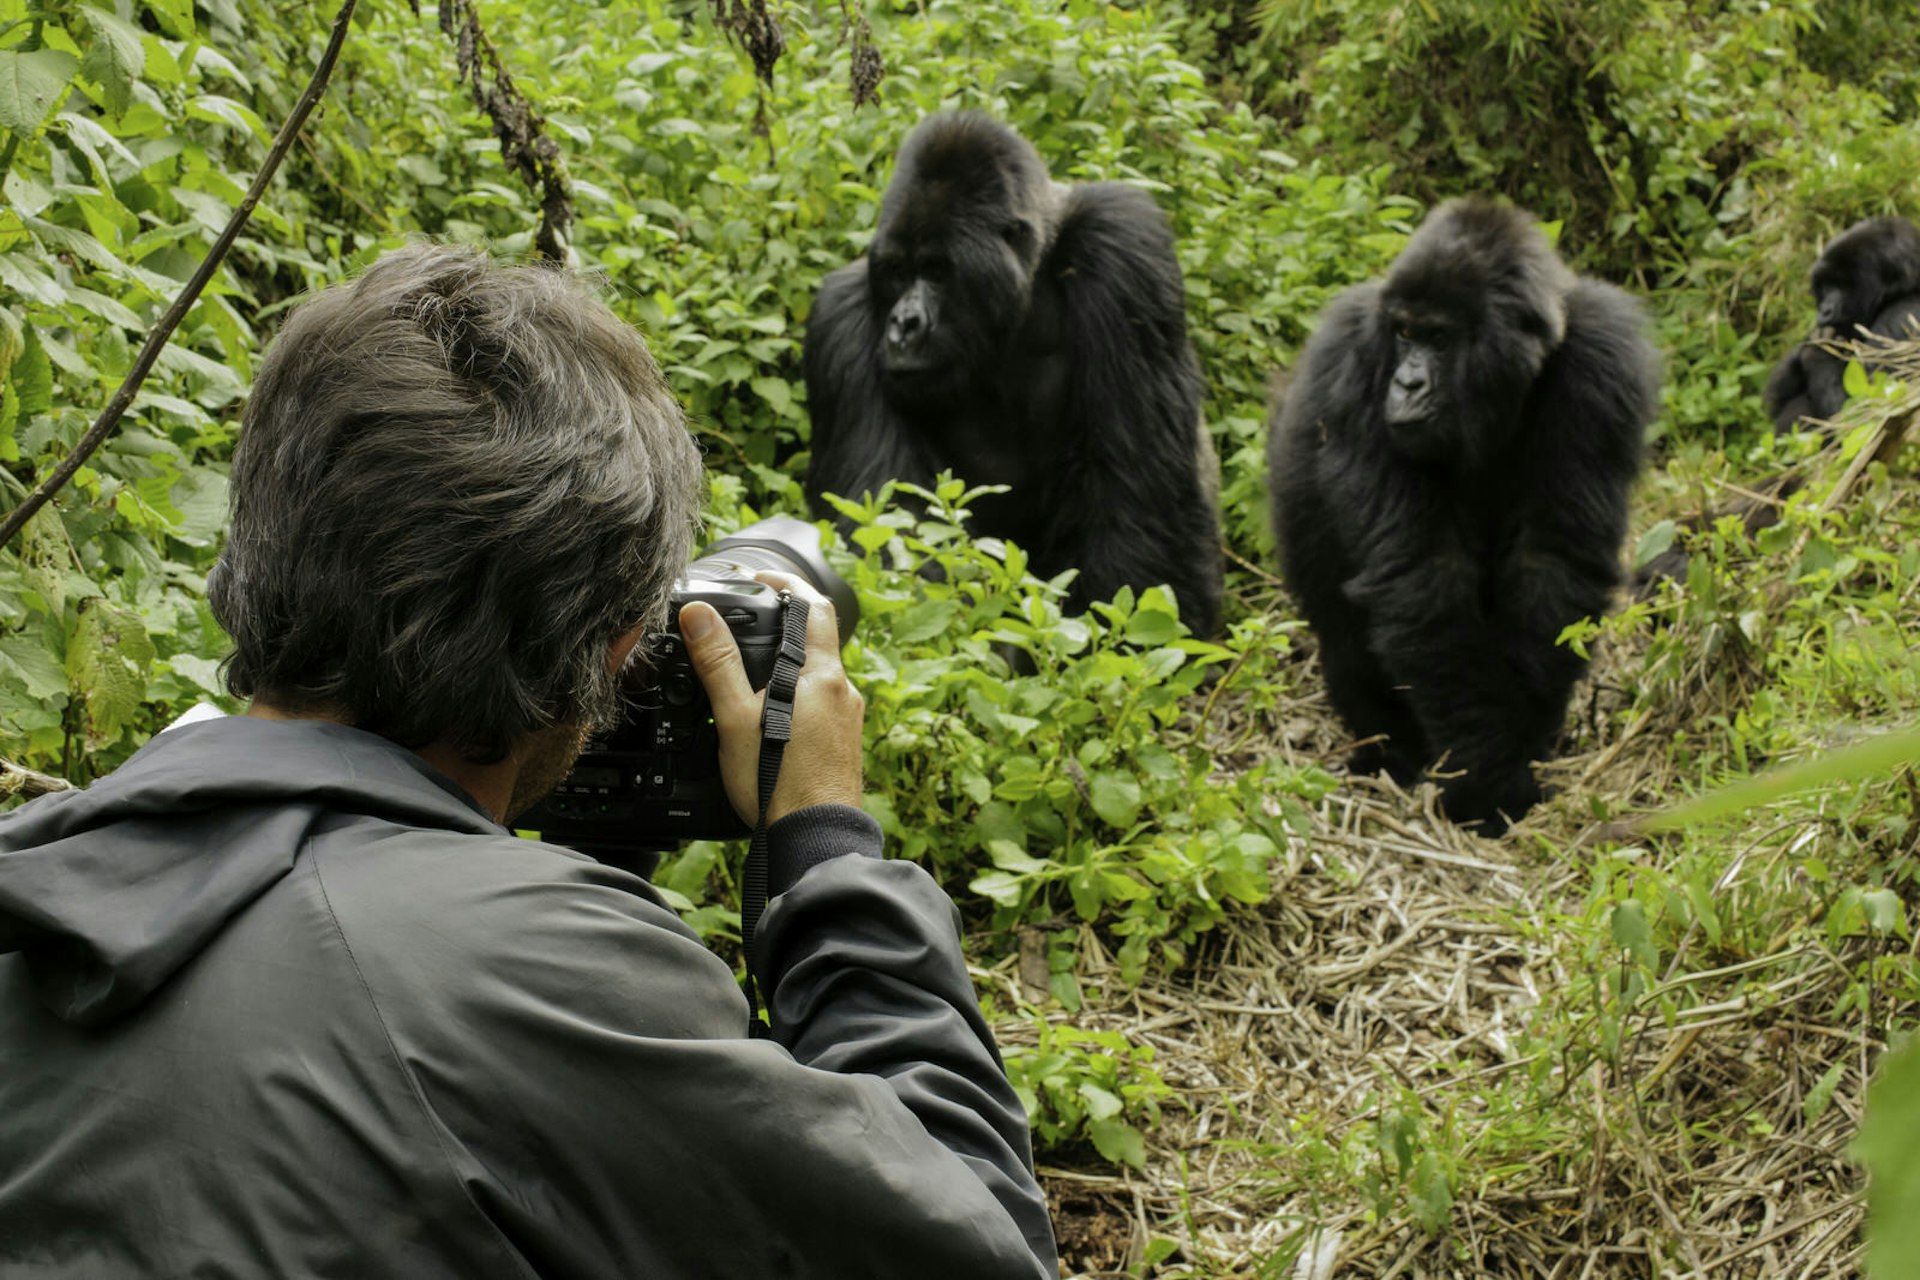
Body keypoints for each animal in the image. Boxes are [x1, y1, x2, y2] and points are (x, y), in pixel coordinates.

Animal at [802, 113, 1221, 640]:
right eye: (897, 271)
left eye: (936, 271)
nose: (902, 324)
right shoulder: (841, 317)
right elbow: (886, 531)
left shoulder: (1123, 243)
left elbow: (1140, 496)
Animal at [1267, 198, 1658, 836]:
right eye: (1404, 333)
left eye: (1440, 338)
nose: (1406, 383)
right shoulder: (1355, 357)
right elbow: (1424, 575)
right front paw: (1486, 782)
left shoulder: (1604, 358)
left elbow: (1551, 562)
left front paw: (1520, 753)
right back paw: (1386, 752)